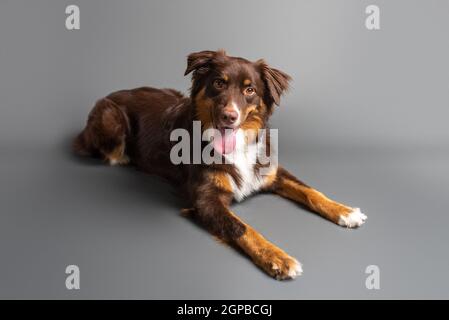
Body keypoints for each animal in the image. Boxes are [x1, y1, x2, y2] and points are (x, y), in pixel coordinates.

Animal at [73, 50, 366, 280]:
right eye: (218, 83)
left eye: (250, 90)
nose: (229, 116)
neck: (236, 146)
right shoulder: (206, 199)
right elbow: (242, 227)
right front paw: (277, 258)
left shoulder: (269, 171)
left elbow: (310, 191)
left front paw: (344, 211)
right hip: (111, 118)